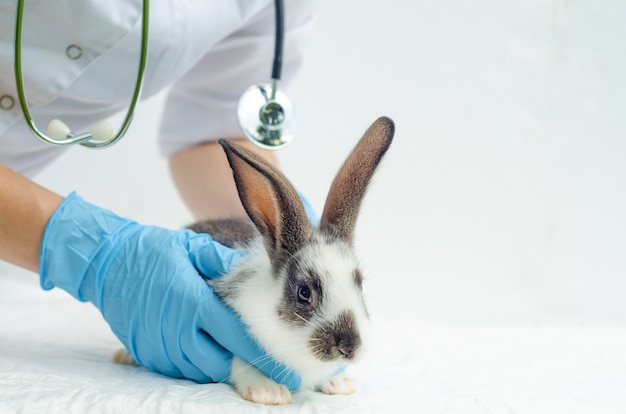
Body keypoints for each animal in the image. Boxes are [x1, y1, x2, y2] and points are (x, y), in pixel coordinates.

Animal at [114, 115, 392, 404]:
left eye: (359, 284)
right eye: (304, 293)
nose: (349, 347)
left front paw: (339, 383)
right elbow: (239, 363)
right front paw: (269, 393)